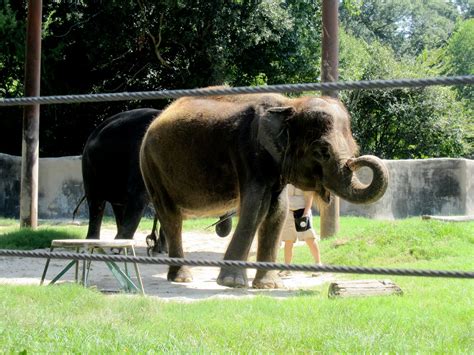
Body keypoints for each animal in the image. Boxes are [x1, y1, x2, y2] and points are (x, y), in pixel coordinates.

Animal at [138, 94, 388, 290]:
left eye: (354, 148)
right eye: (322, 151)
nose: (357, 161)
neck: (290, 104)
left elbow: (278, 211)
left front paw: (269, 285)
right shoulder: (249, 152)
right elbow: (255, 208)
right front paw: (232, 282)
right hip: (151, 167)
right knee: (172, 217)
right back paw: (182, 278)